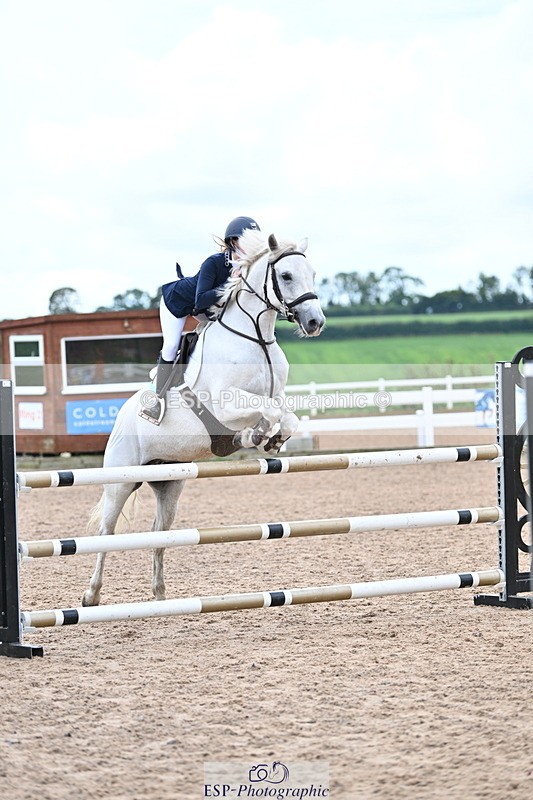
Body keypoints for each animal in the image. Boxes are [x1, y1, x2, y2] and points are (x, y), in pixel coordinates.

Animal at [81, 229, 326, 607]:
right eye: (285, 276)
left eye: (312, 273)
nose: (315, 322)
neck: (255, 337)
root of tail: (121, 416)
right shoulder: (226, 404)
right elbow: (267, 411)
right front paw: (254, 437)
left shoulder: (275, 396)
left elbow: (287, 416)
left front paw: (269, 439)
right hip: (120, 479)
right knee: (106, 531)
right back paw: (91, 595)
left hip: (169, 481)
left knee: (159, 533)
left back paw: (160, 594)